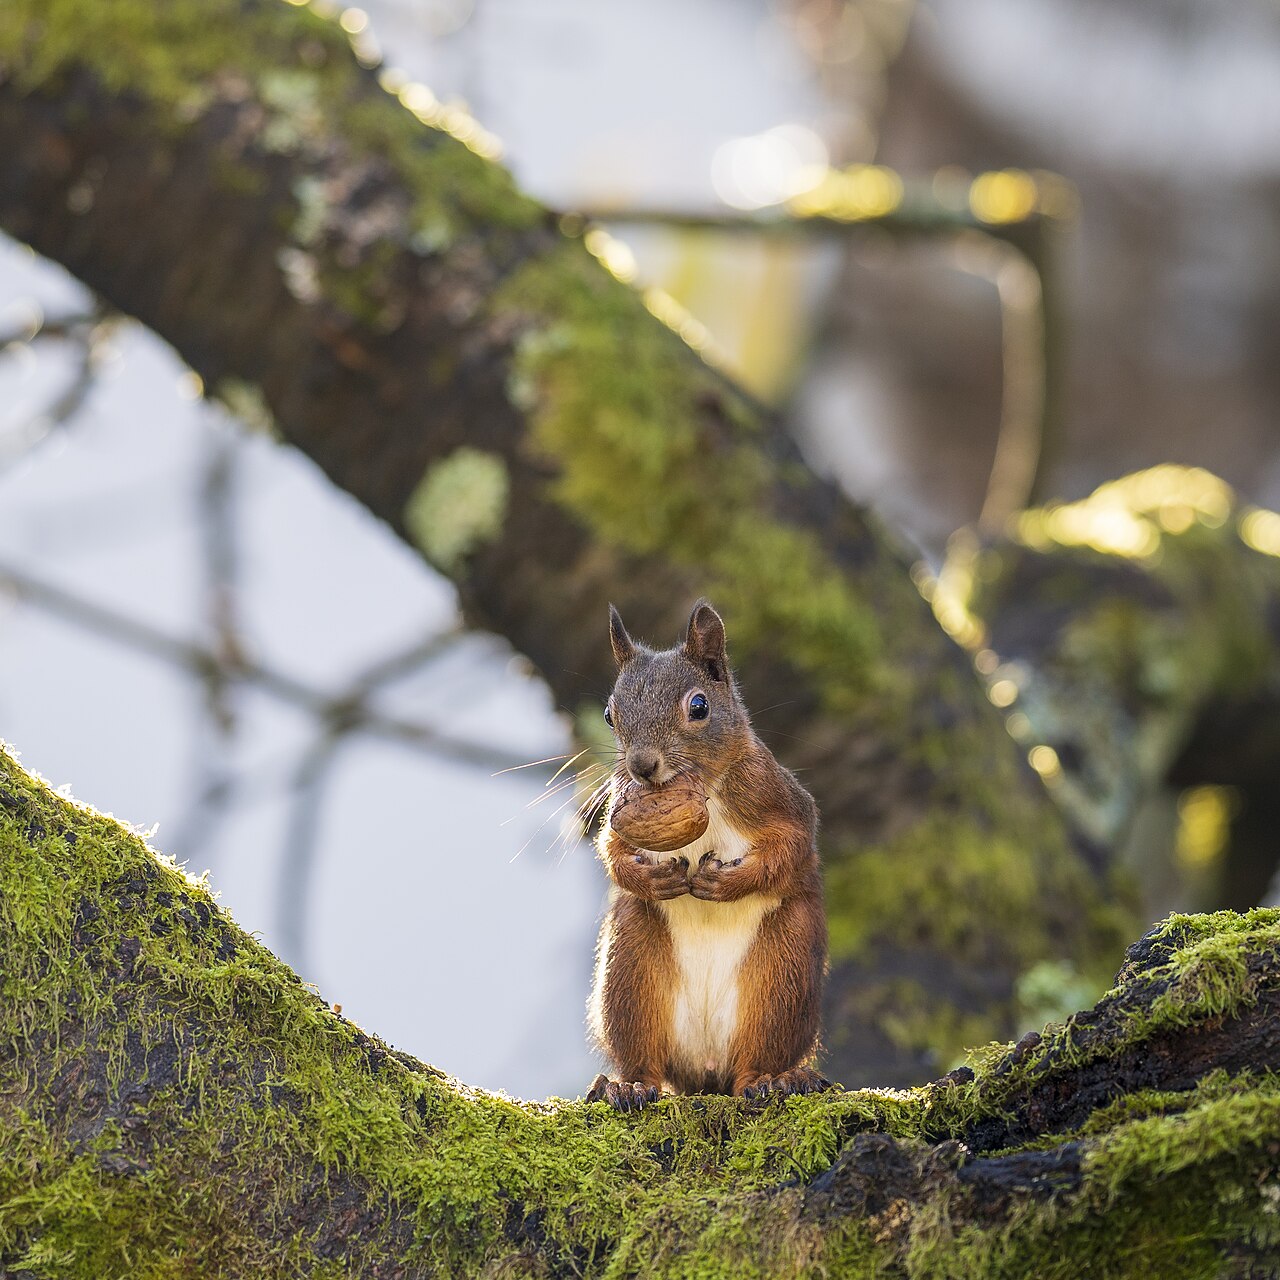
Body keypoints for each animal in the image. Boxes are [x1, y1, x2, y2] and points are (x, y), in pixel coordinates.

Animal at [586, 600, 829, 1111]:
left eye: (699, 707)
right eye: (610, 715)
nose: (641, 765)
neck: (699, 785)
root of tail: (708, 1069)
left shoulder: (775, 795)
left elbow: (793, 844)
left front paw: (726, 883)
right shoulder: (621, 803)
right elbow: (612, 849)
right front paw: (652, 879)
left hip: (785, 971)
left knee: (760, 1054)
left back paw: (772, 1078)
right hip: (630, 969)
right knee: (645, 1057)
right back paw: (629, 1084)